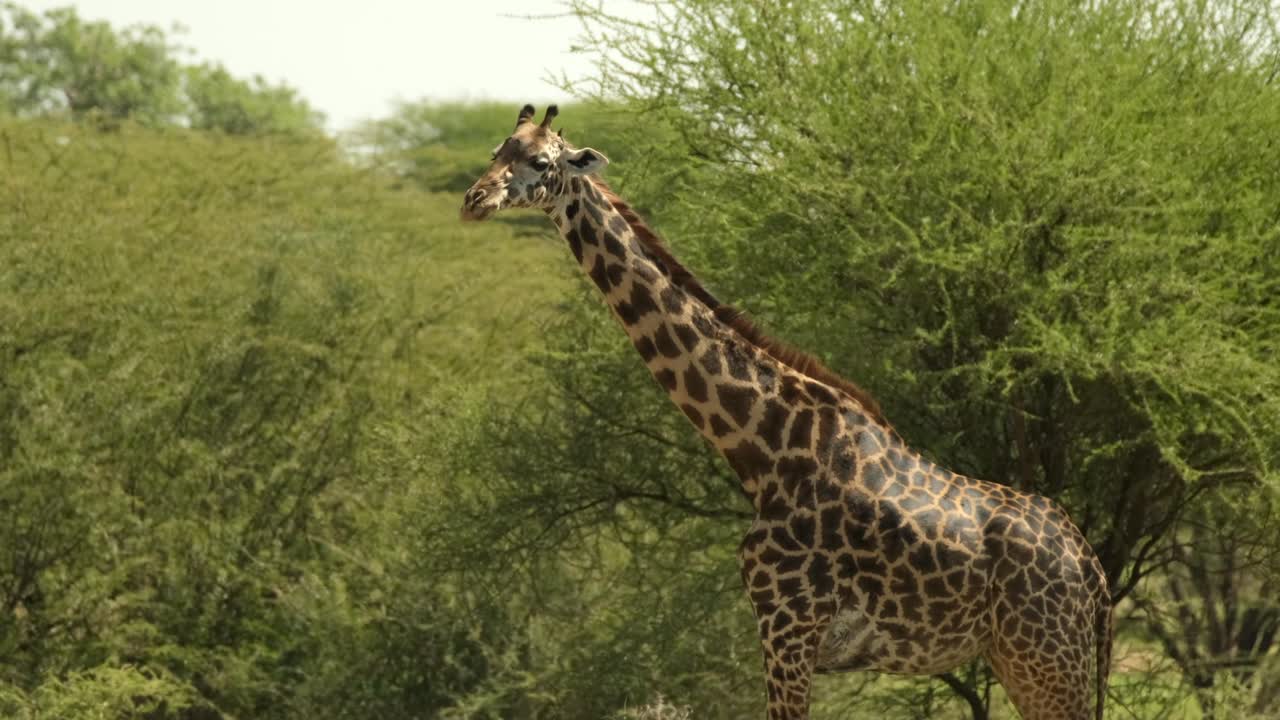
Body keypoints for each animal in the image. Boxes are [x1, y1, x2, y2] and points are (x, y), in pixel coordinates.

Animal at [461, 105, 1113, 720]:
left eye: (542, 163)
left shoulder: (788, 627)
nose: (474, 200)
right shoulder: (784, 633)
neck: (763, 447)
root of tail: (1094, 575)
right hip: (1025, 659)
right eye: (497, 151)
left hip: (1046, 660)